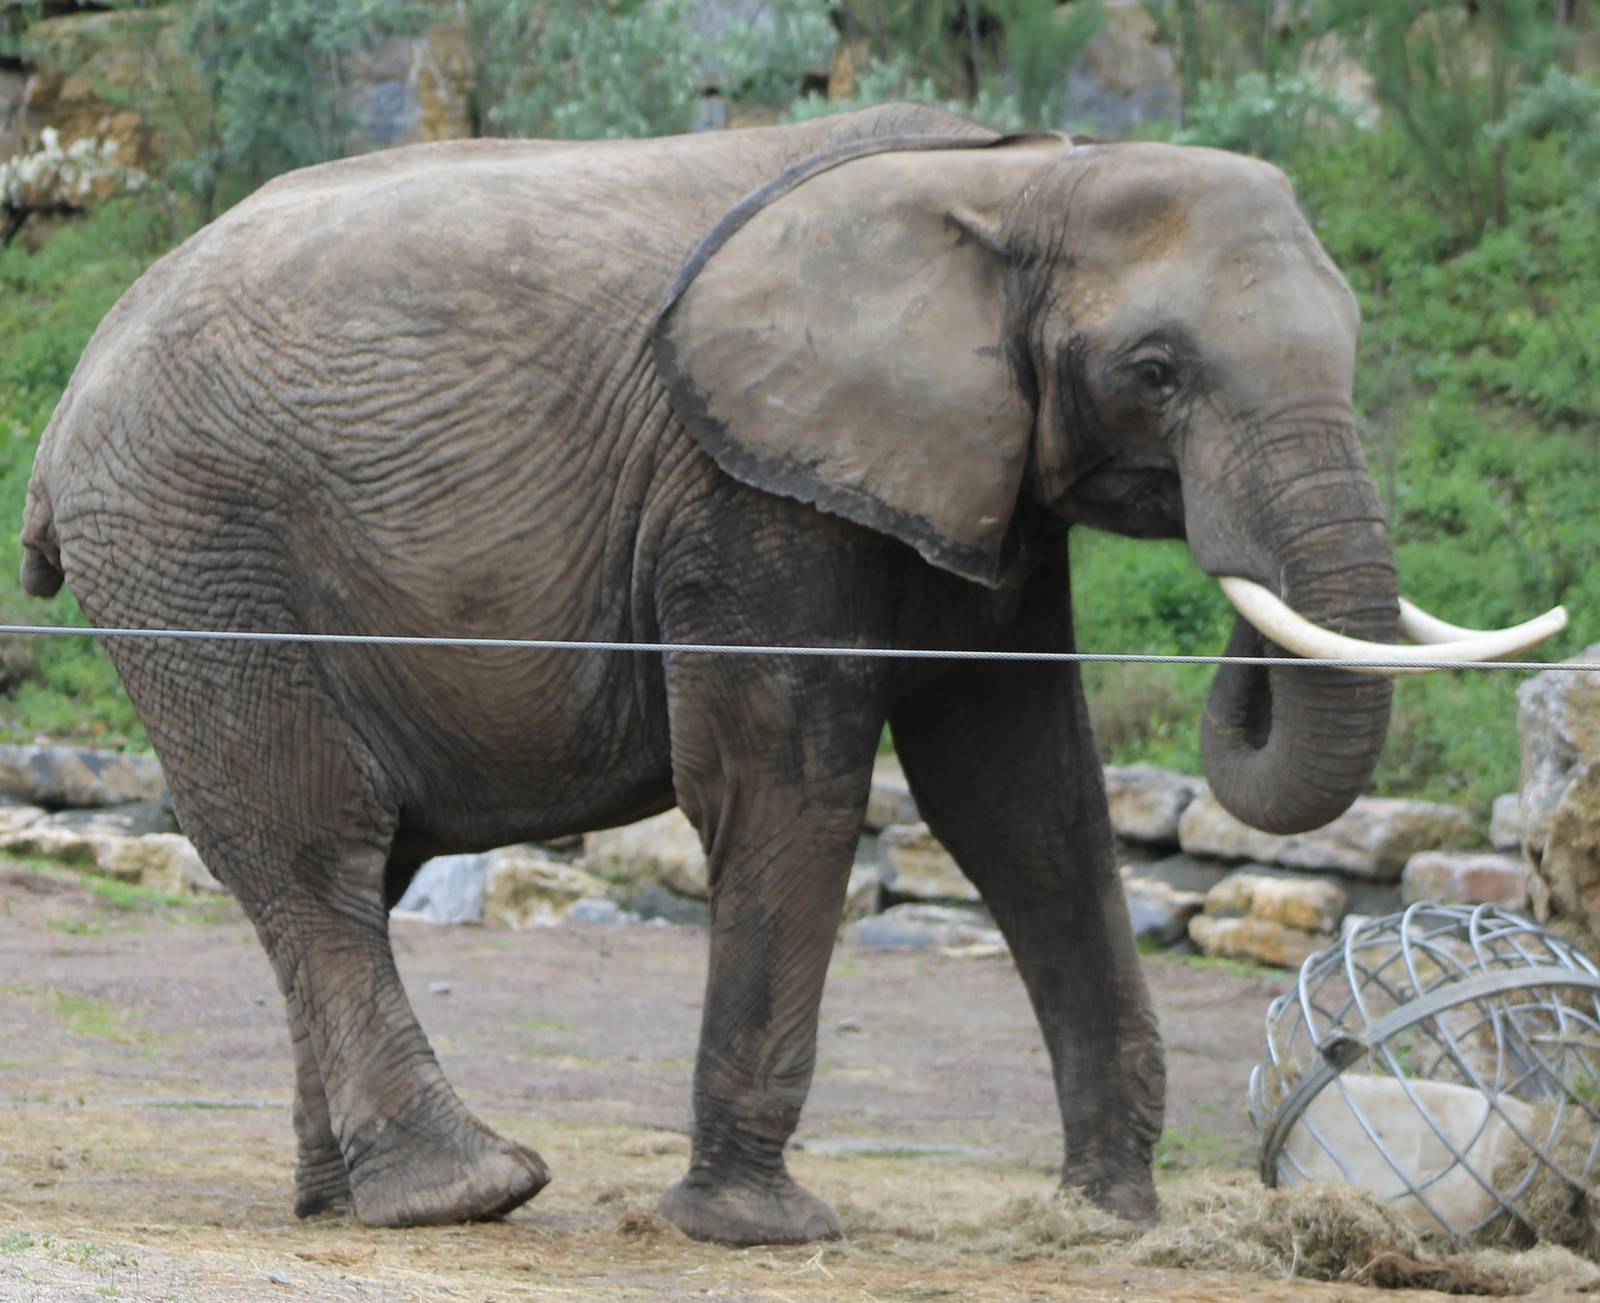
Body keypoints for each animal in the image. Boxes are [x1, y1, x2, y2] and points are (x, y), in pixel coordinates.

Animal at [18, 103, 1563, 1245]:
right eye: (1157, 370)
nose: (1234, 587)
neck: (1021, 177)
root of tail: (75, 387)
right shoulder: (746, 479)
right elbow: (787, 775)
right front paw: (757, 1227)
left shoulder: (968, 472)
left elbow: (1024, 795)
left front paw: (1110, 1214)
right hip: (189, 549)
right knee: (317, 844)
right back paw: (469, 1192)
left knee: (355, 868)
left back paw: (344, 1201)